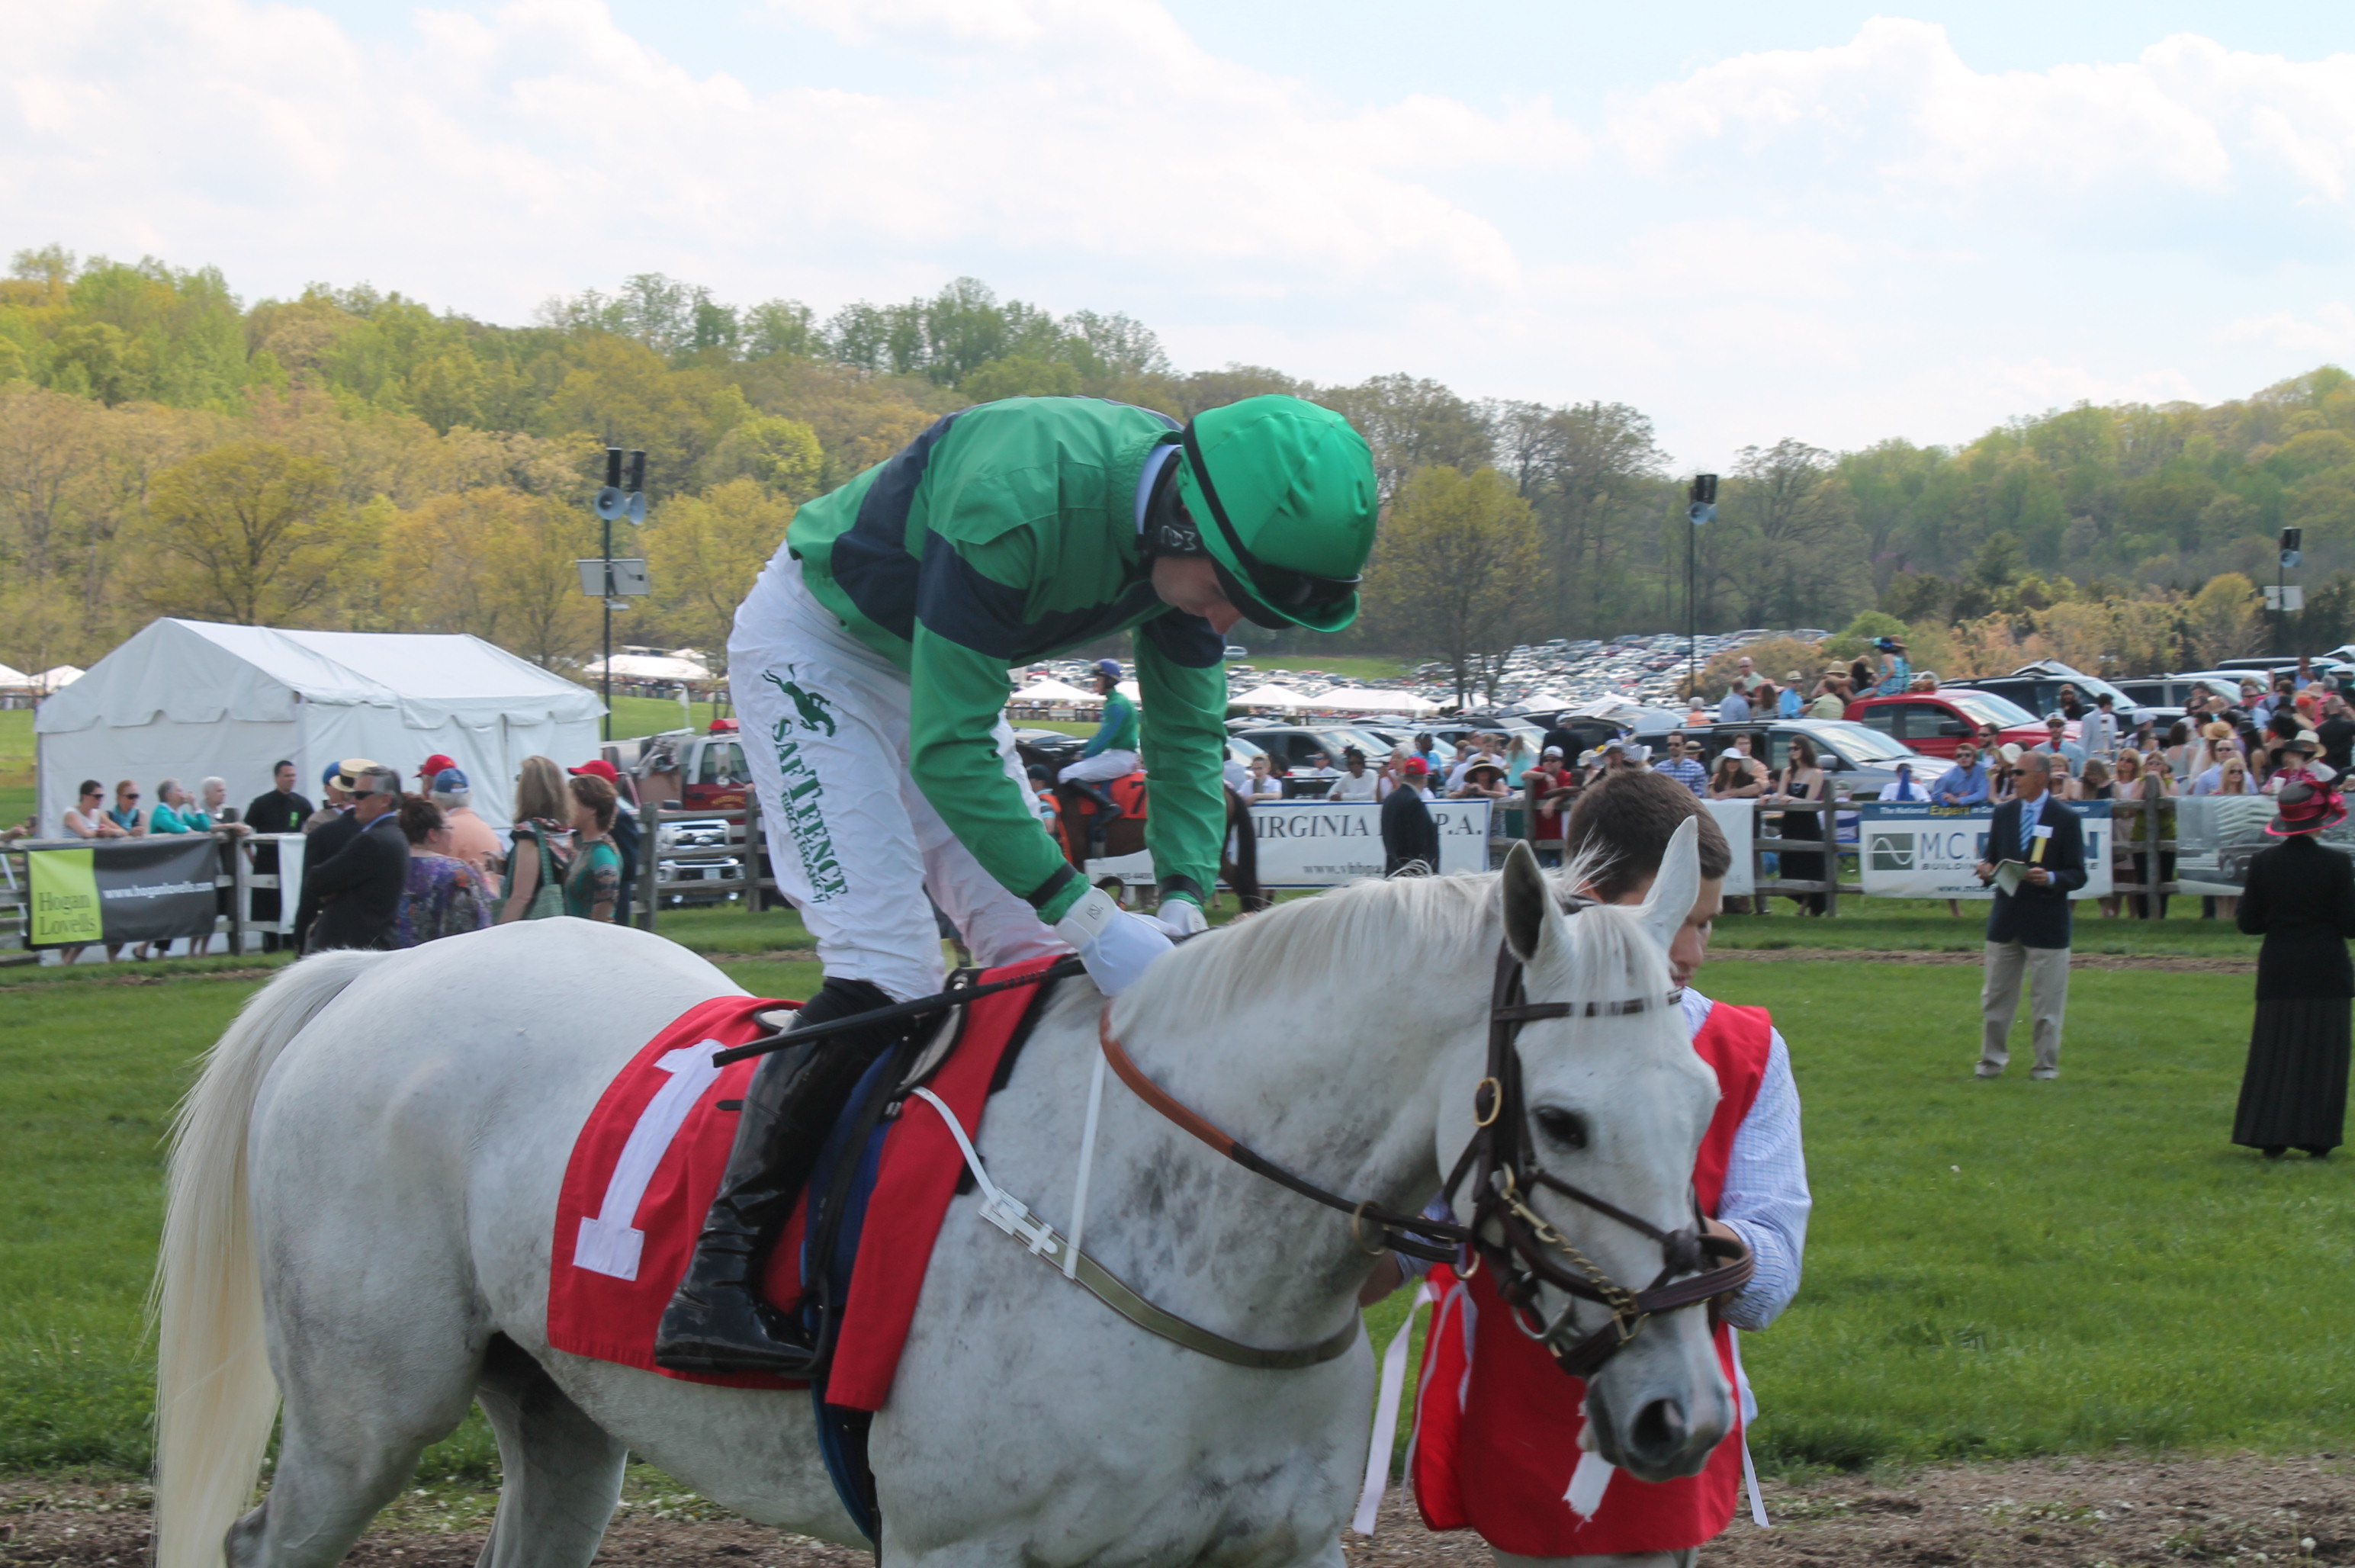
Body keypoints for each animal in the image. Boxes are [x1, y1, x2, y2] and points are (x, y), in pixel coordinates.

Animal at [152, 828, 1733, 1563]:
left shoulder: (1267, 1547)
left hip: (558, 1410)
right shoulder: (954, 1548)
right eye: (1564, 1118)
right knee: (260, 1538)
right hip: (365, 1412)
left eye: (1703, 1099)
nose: (1682, 1413)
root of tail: (380, 972)